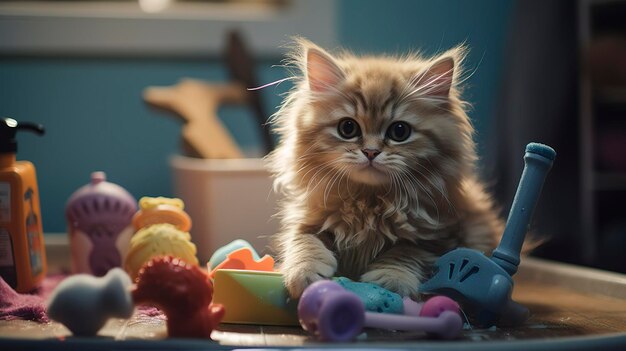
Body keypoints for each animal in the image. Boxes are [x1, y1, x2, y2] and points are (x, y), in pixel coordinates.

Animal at [266, 40, 502, 300]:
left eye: (399, 131)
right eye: (347, 128)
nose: (370, 152)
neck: (368, 202)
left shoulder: (439, 236)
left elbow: (406, 252)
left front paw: (391, 280)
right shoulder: (307, 220)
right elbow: (304, 242)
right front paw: (304, 272)